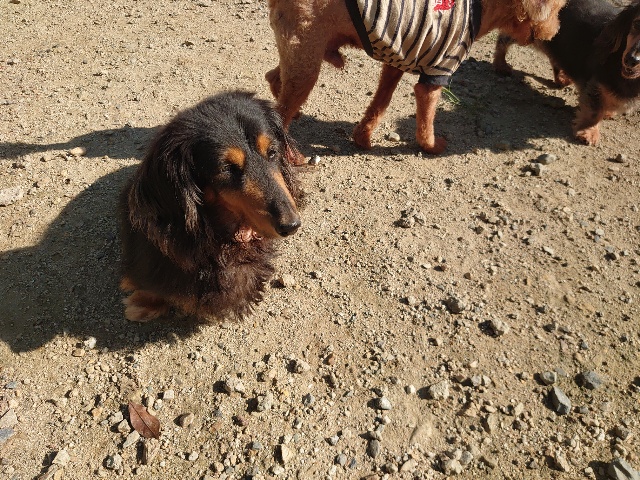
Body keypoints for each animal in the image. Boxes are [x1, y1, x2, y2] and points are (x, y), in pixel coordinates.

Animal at [265, 0, 566, 155]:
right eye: (557, 8)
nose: (556, 34)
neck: (482, 9)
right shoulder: (437, 73)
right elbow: (426, 121)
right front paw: (431, 146)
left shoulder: (395, 64)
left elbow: (379, 105)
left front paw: (363, 139)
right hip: (306, 61)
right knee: (283, 108)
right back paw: (293, 155)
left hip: (302, 56)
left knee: (274, 79)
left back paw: (293, 113)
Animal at [494, 0, 640, 145]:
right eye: (635, 24)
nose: (631, 60)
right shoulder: (596, 84)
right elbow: (594, 112)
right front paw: (588, 132)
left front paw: (607, 113)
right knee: (503, 39)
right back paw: (501, 65)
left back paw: (562, 79)